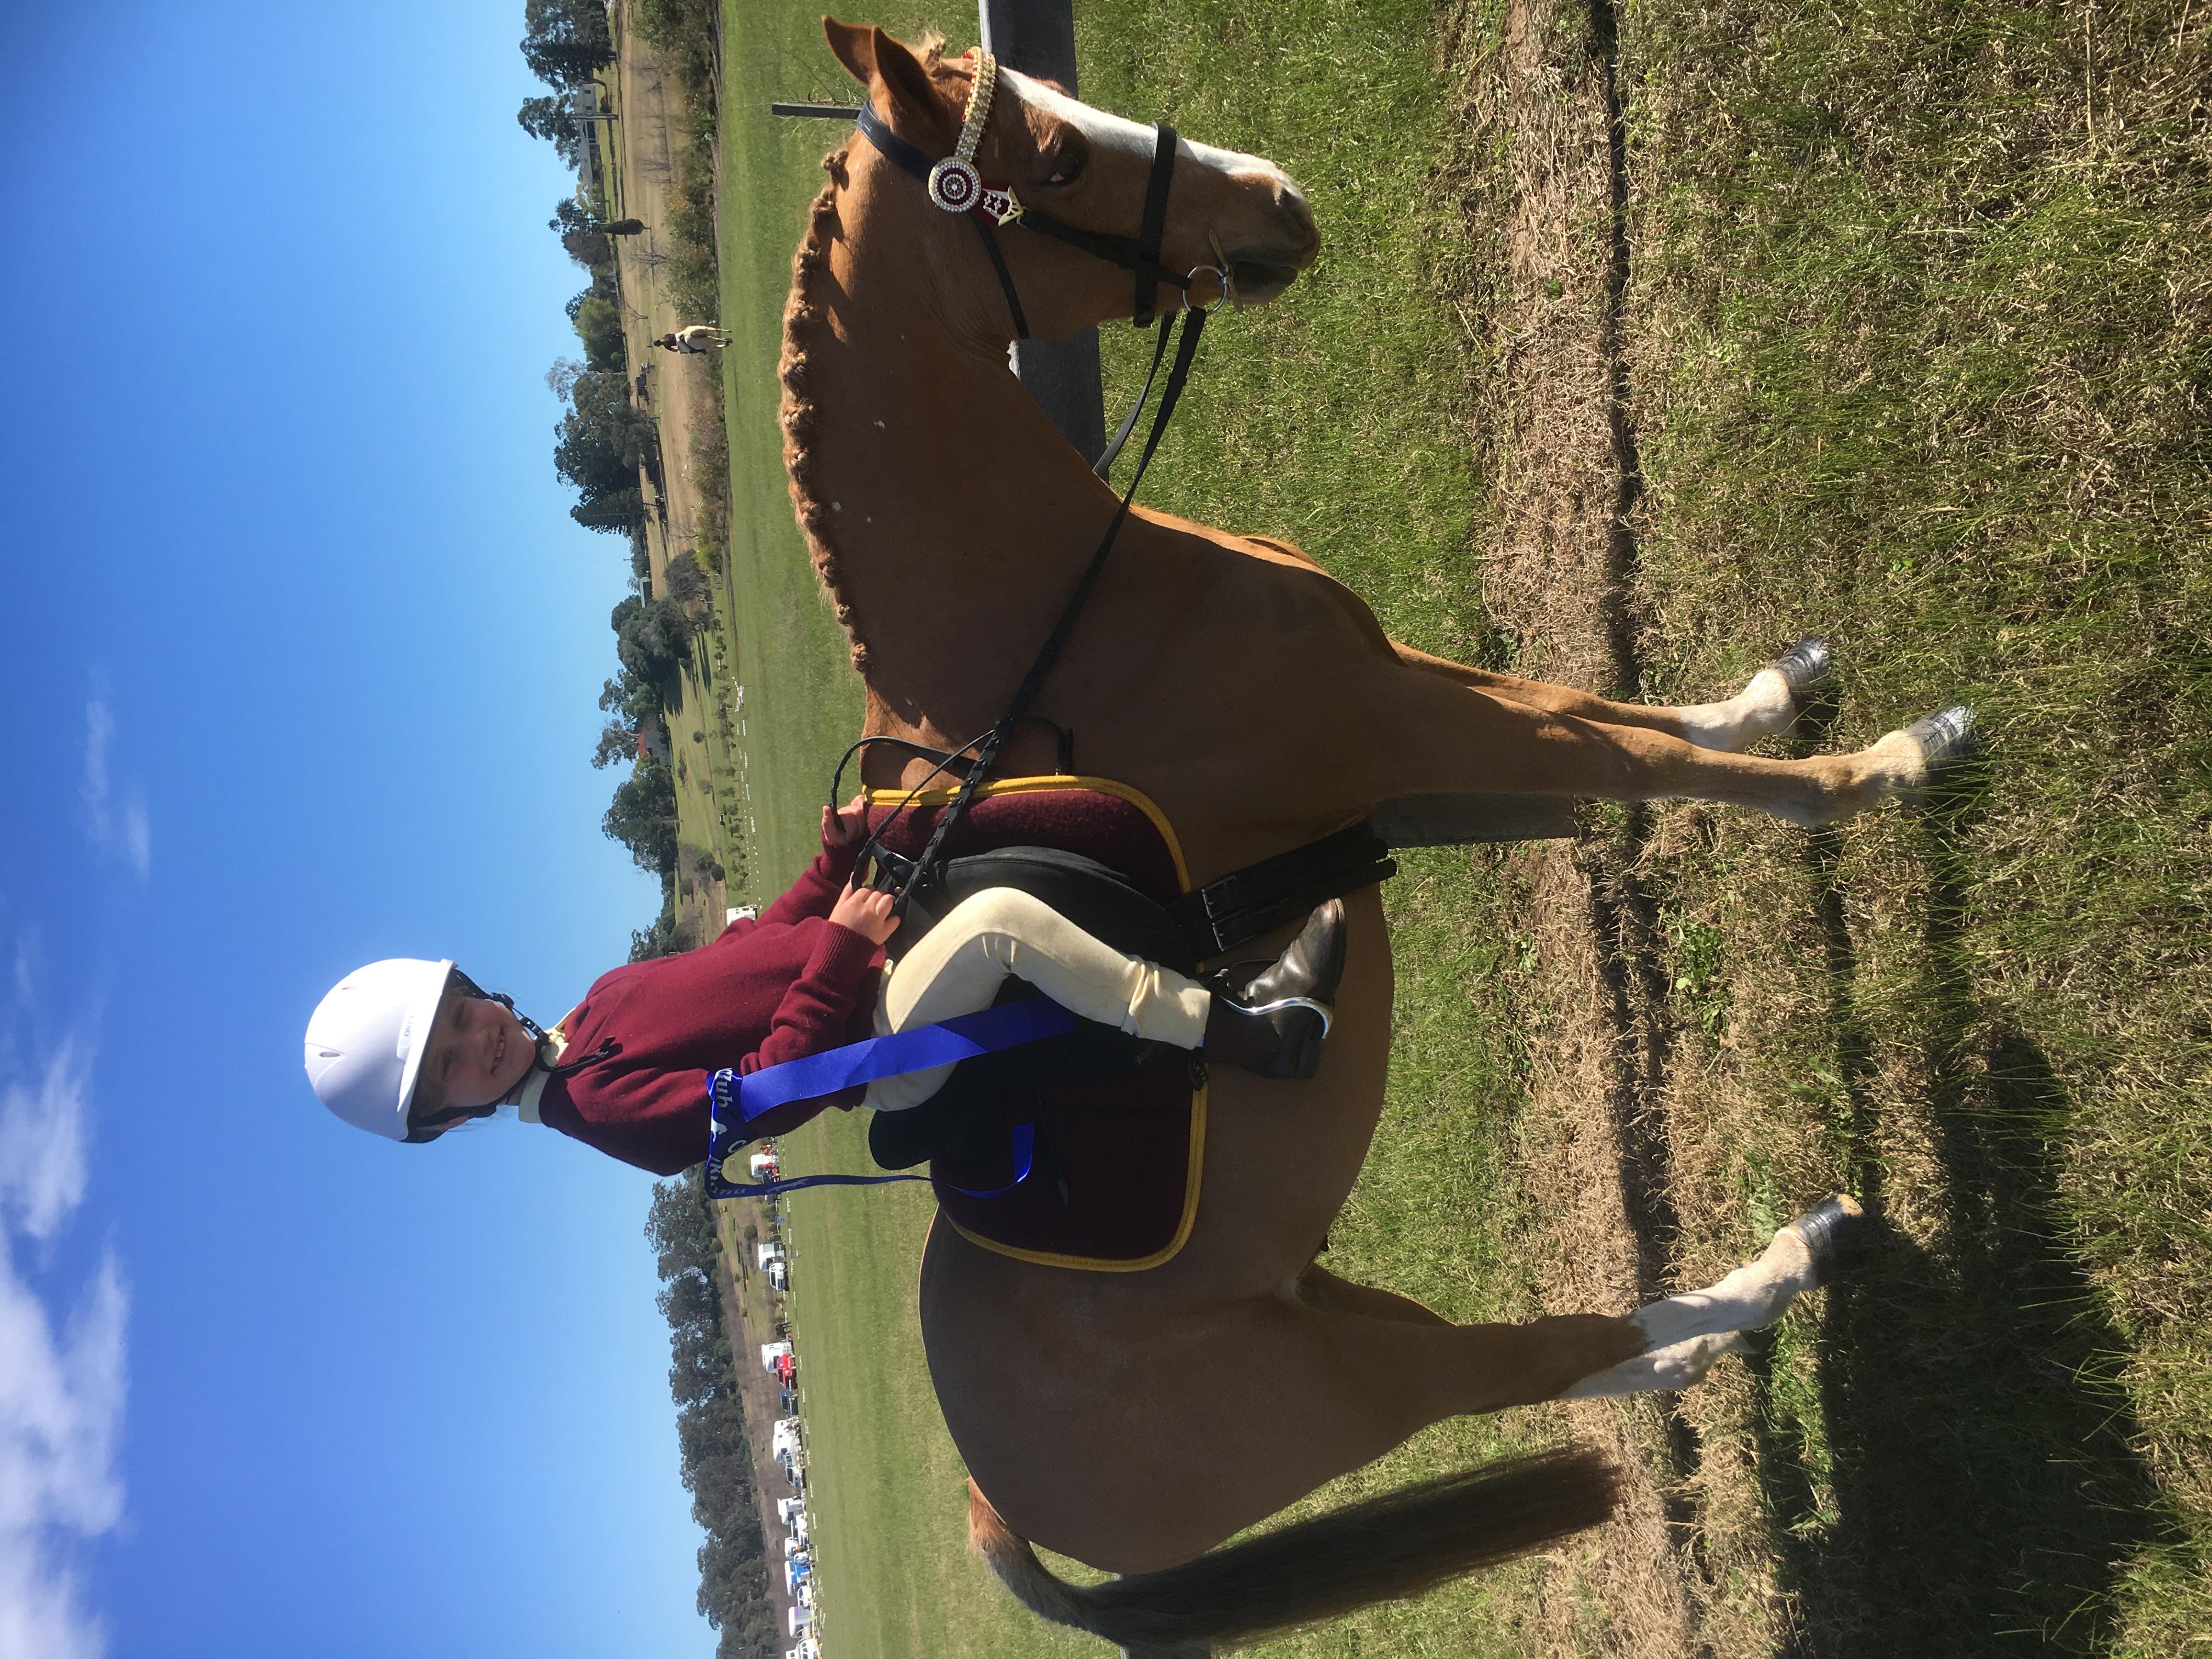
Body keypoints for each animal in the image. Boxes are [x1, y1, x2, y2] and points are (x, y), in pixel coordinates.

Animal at [781, 21, 1961, 1653]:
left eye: (1059, 106)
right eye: (1059, 160)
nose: (1276, 201)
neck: (1066, 608)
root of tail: (994, 1500)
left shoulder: (1418, 723)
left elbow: (1624, 726)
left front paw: (1778, 691)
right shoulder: (1410, 728)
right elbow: (1660, 762)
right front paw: (1894, 768)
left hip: (1325, 1303)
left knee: (1589, 1358)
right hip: (1361, 1388)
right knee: (1539, 1358)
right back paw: (1795, 1257)